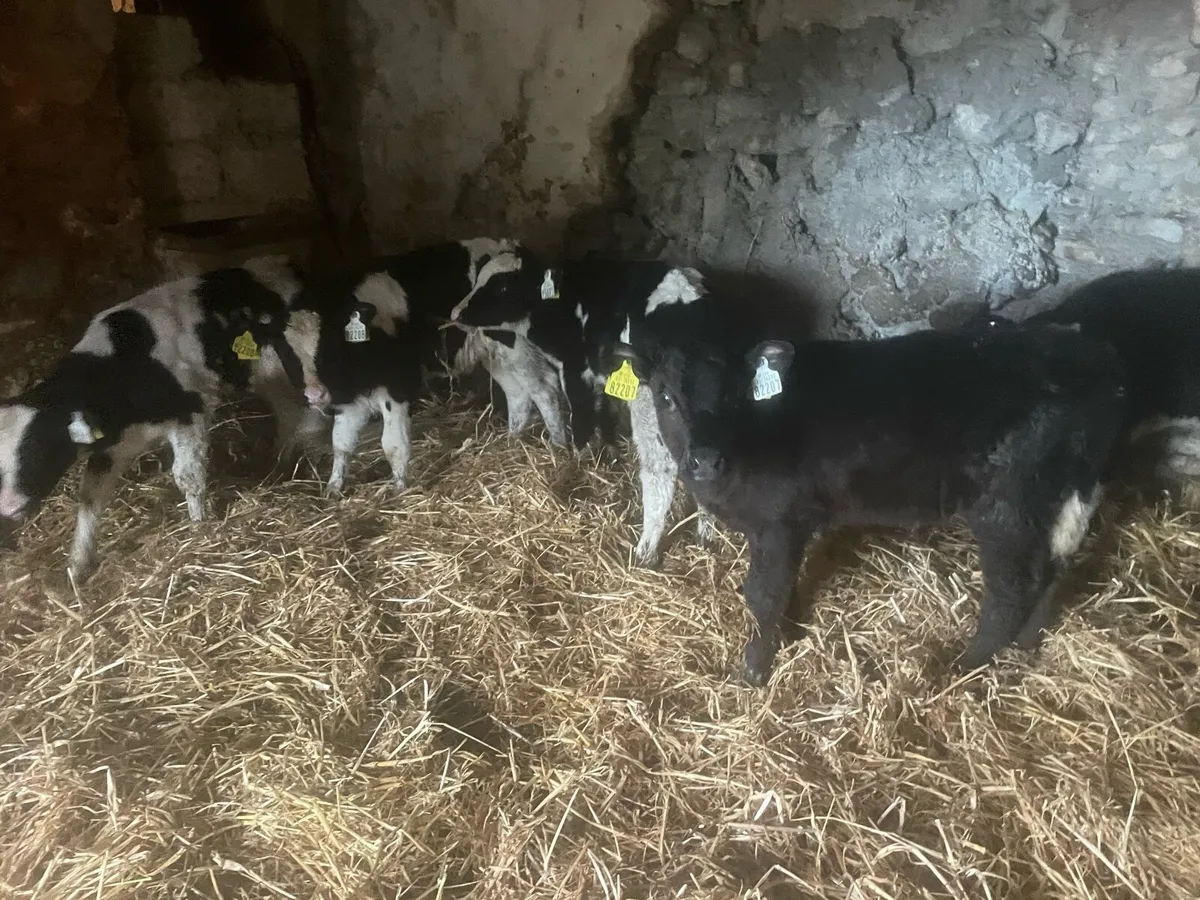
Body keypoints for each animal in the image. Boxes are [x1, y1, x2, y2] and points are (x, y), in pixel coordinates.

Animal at [0, 256, 323, 582]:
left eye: (39, 448)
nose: (9, 506)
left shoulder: (189, 413)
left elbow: (188, 477)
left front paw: (199, 528)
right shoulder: (114, 446)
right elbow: (90, 496)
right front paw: (78, 565)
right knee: (287, 411)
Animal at [279, 239, 569, 496]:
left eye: (327, 346)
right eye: (287, 354)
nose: (315, 394)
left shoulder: (397, 385)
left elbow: (393, 444)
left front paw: (398, 489)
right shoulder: (347, 400)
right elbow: (340, 443)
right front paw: (333, 488)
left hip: (516, 347)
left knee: (544, 390)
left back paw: (558, 444)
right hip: (494, 355)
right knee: (517, 394)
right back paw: (512, 441)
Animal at [613, 313, 1129, 685]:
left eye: (736, 396)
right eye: (665, 396)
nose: (705, 460)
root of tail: (1091, 354)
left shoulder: (778, 522)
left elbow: (763, 592)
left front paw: (755, 669)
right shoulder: (792, 523)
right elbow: (786, 584)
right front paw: (792, 631)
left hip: (1006, 507)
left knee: (1014, 585)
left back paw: (962, 666)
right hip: (1069, 496)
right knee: (1054, 568)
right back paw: (1024, 645)